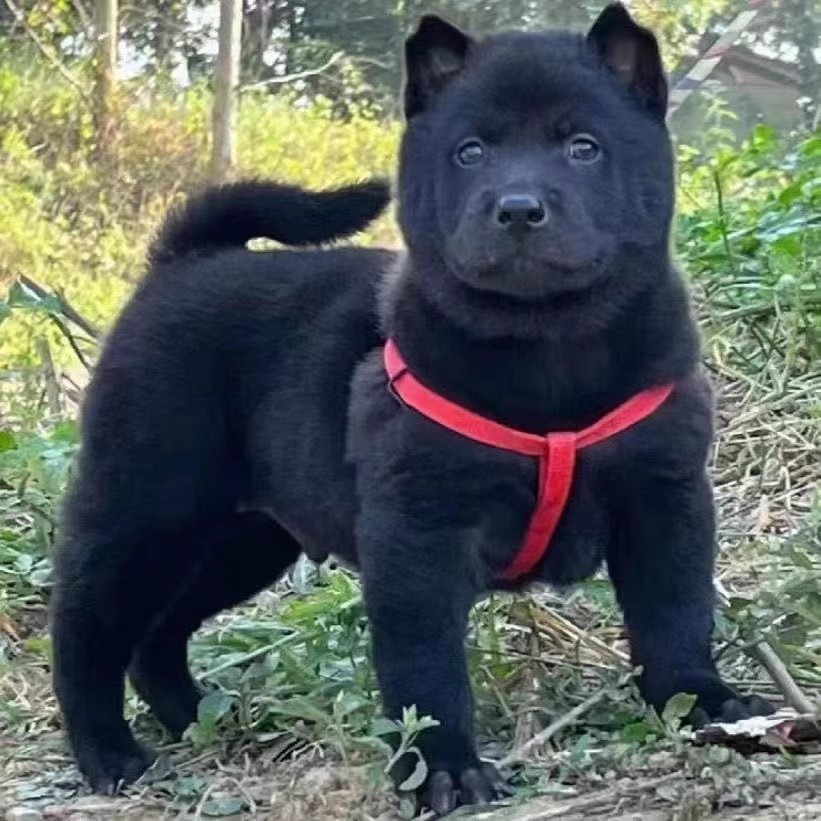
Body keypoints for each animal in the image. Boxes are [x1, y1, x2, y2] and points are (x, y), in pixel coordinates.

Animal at [54, 4, 772, 812]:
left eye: (583, 147)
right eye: (470, 151)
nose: (517, 208)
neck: (549, 347)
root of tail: (184, 261)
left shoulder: (664, 497)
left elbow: (674, 616)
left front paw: (705, 702)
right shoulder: (419, 531)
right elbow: (426, 666)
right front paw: (444, 765)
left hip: (246, 537)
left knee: (158, 635)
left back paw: (201, 717)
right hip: (141, 509)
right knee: (86, 630)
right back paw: (108, 752)